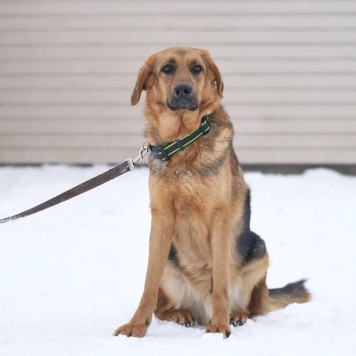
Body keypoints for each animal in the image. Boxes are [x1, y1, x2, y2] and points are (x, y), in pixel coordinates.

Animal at [113, 46, 308, 338]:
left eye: (197, 69)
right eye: (167, 68)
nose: (184, 89)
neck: (182, 142)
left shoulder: (219, 219)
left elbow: (221, 284)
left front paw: (219, 325)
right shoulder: (160, 219)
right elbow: (149, 285)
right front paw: (136, 325)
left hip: (259, 251)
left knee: (252, 308)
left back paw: (235, 315)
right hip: (171, 262)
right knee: (163, 308)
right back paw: (182, 313)